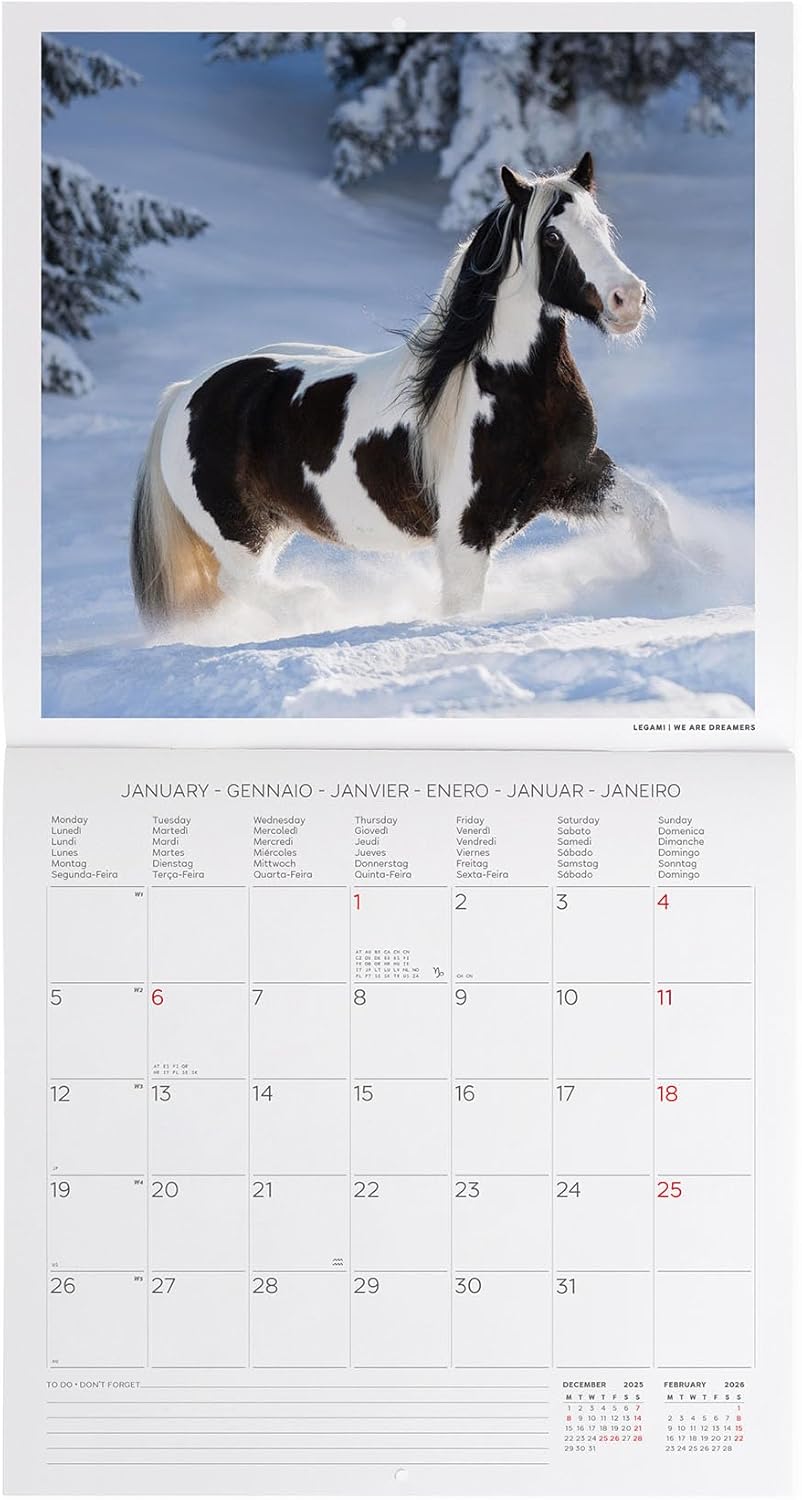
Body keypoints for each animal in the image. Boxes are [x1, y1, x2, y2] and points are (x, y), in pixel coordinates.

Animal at [131, 152, 680, 626]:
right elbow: (461, 609)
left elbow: (652, 511)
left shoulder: (576, 475)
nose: (628, 299)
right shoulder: (465, 533)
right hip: (242, 534)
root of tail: (185, 392)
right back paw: (318, 606)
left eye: (601, 225)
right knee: (240, 584)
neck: (511, 389)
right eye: (550, 235)